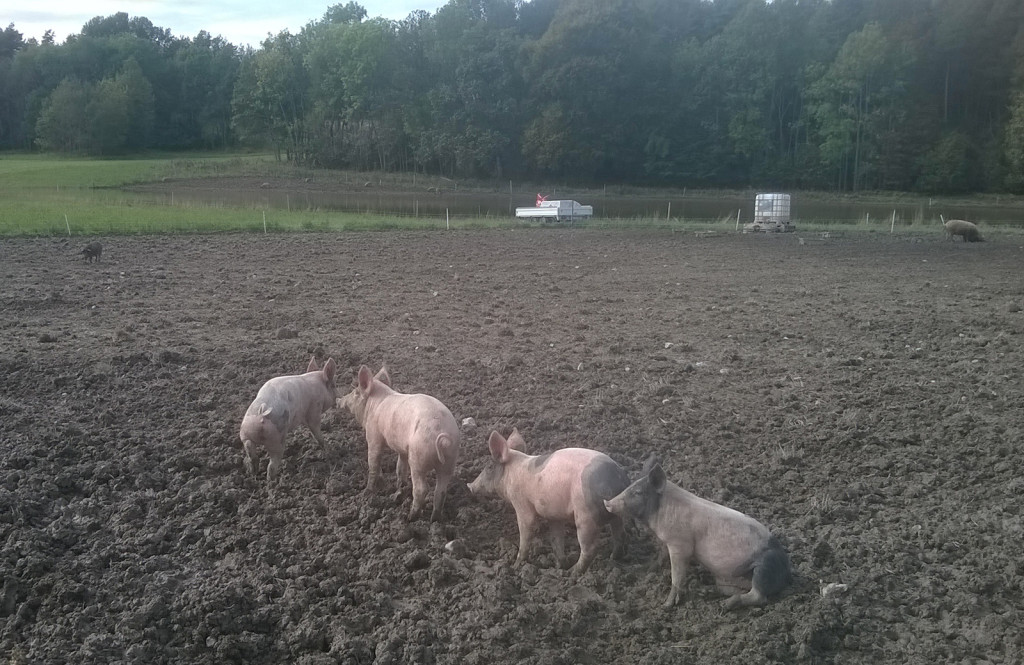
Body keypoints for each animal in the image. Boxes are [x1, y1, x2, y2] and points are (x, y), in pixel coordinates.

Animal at [337, 364, 458, 520]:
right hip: (450, 461)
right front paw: (399, 487)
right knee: (441, 490)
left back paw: (410, 517)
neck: (373, 404)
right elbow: (400, 467)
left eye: (356, 392)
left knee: (421, 488)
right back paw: (434, 519)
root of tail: (443, 434)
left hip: (418, 457)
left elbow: (373, 462)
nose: (338, 400)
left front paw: (367, 492)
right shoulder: (403, 449)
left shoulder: (373, 435)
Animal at [468, 430, 626, 573]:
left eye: (489, 467)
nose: (469, 486)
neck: (511, 473)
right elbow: (556, 539)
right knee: (619, 535)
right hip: (615, 515)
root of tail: (617, 480)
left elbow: (527, 527)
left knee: (590, 548)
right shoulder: (554, 515)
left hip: (586, 514)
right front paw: (560, 565)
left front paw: (515, 566)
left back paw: (573, 573)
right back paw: (613, 557)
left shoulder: (520, 501)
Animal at [602, 459, 794, 610]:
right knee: (730, 589)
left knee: (759, 597)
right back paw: (706, 592)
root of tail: (786, 570)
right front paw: (647, 569)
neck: (659, 516)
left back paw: (725, 606)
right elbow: (660, 557)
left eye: (638, 492)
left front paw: (666, 606)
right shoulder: (666, 542)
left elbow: (676, 576)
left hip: (764, 566)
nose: (607, 502)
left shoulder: (680, 544)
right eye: (629, 486)